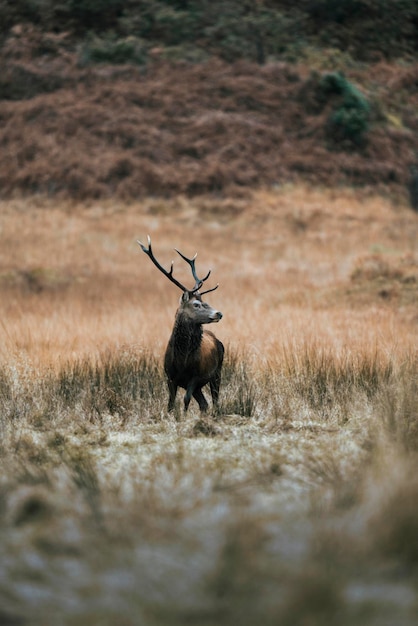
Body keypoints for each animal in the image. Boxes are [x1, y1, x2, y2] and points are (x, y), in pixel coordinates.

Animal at [137, 234, 224, 414]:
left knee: (214, 400)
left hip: (217, 372)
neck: (182, 361)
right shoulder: (170, 377)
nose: (219, 313)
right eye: (196, 304)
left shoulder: (195, 377)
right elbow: (170, 404)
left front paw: (183, 416)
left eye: (205, 302)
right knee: (204, 404)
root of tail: (218, 340)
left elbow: (185, 400)